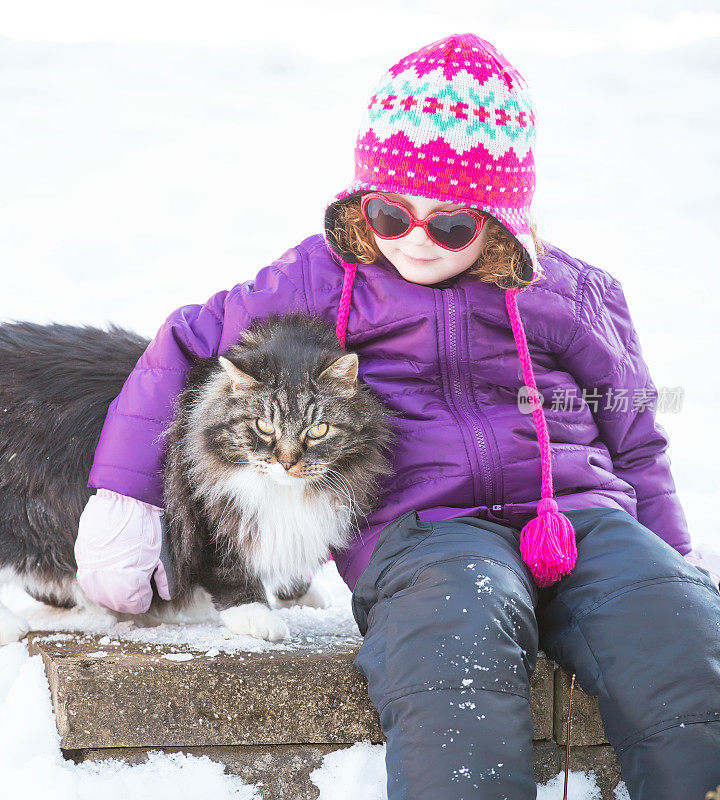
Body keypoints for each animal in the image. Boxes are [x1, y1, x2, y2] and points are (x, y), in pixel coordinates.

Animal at [0, 312, 394, 644]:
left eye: (318, 430)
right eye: (264, 426)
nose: (287, 462)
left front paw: (298, 591)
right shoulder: (202, 505)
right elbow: (228, 567)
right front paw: (256, 616)